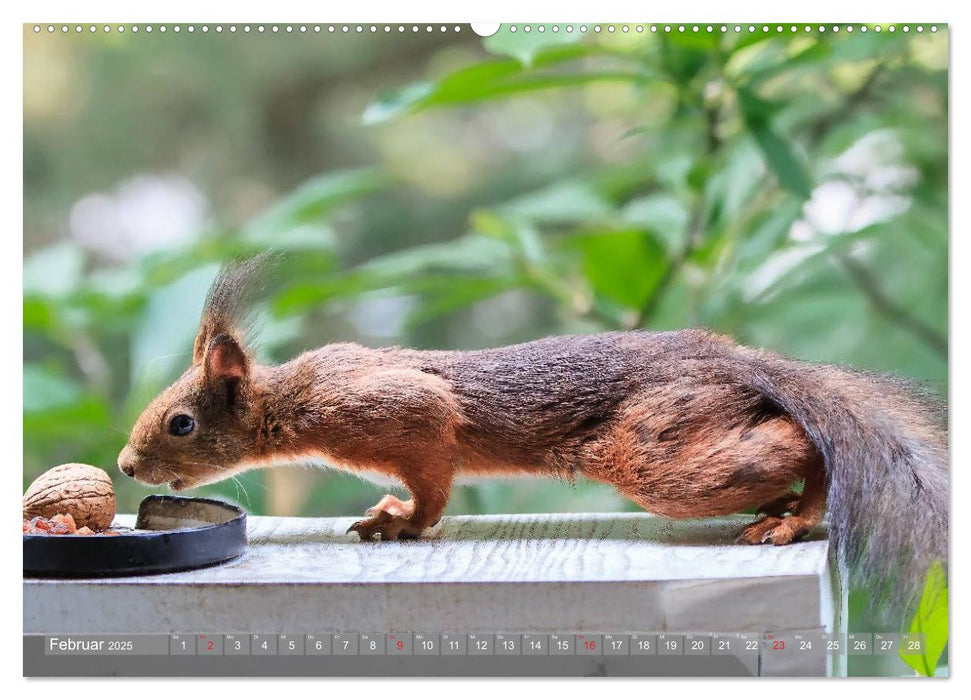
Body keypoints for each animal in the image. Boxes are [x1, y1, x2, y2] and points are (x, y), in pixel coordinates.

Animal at [117, 256, 944, 612]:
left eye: (180, 423)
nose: (125, 465)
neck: (295, 399)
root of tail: (730, 359)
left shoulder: (406, 418)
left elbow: (431, 489)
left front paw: (398, 524)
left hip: (656, 449)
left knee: (798, 443)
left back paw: (793, 518)